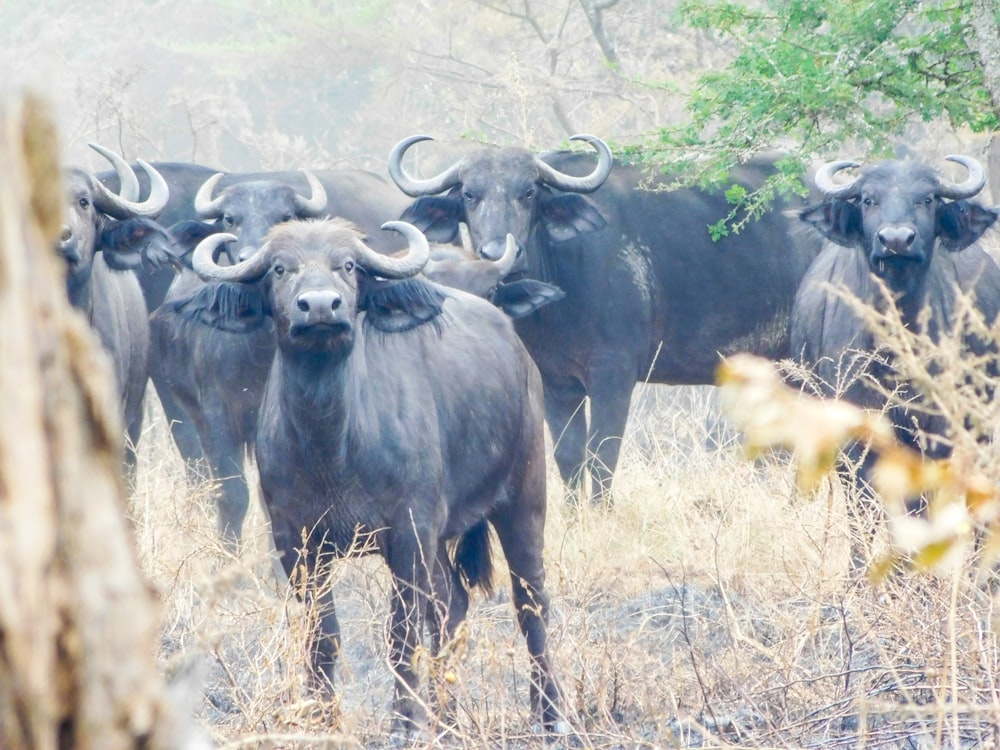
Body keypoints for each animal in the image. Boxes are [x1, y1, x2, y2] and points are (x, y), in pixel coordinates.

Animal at [187, 219, 564, 740]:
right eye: (280, 269)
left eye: (347, 265)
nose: (320, 306)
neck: (332, 446)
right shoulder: (296, 543)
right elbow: (322, 635)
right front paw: (322, 716)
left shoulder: (407, 532)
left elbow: (400, 633)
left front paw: (403, 725)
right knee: (452, 604)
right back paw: (446, 718)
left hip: (524, 499)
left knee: (531, 604)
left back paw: (549, 716)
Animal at [386, 138, 824, 508]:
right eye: (469, 195)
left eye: (527, 192)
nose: (495, 251)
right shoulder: (556, 383)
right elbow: (568, 455)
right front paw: (575, 514)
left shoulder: (614, 375)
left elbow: (602, 452)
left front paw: (601, 510)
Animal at [788, 157, 1000, 560]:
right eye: (868, 199)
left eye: (928, 199)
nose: (897, 241)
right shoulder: (854, 436)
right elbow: (863, 508)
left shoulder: (935, 433)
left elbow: (922, 506)